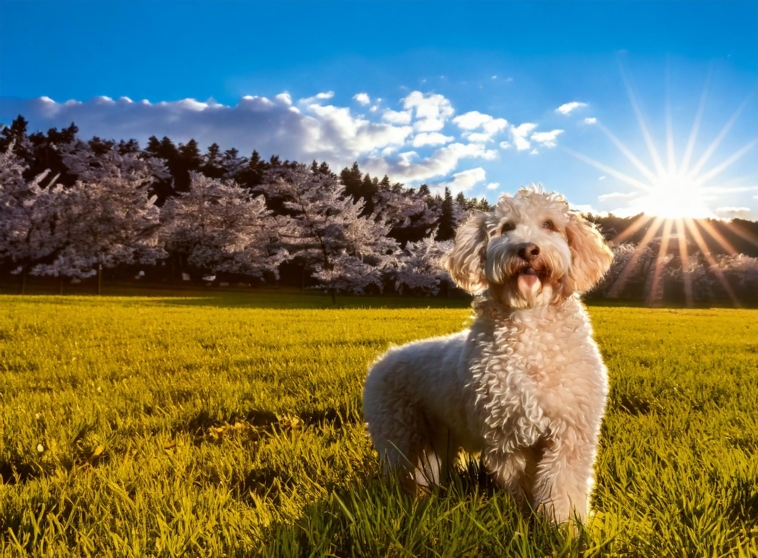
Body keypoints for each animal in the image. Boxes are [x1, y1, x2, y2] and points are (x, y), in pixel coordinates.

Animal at [364, 188, 616, 524]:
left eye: (549, 224)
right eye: (506, 227)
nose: (528, 249)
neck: (530, 325)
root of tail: (382, 359)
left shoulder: (569, 433)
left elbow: (562, 485)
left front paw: (564, 526)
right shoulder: (506, 436)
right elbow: (524, 486)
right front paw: (532, 522)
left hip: (435, 441)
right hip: (400, 435)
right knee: (403, 476)